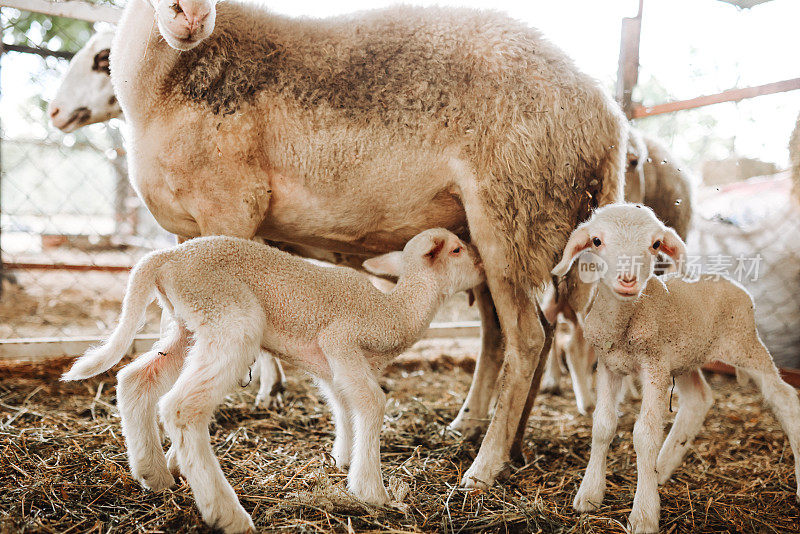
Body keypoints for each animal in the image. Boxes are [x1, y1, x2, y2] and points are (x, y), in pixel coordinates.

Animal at [62, 228, 484, 532]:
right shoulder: (341, 340)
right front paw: (370, 489)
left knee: (136, 378)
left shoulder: (333, 364)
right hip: (229, 314)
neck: (396, 309)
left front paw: (342, 459)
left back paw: (154, 473)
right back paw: (227, 514)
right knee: (181, 407)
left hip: (188, 322)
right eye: (457, 250)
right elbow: (372, 402)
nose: (483, 268)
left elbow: (344, 405)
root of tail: (164, 257)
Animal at [109, 0, 628, 490]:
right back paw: (492, 440)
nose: (192, 15)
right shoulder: (186, 228)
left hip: (510, 213)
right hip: (506, 232)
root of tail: (607, 118)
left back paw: (484, 466)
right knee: (513, 334)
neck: (163, 82)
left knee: (527, 339)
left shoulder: (231, 207)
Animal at [552, 204, 800, 534]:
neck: (627, 322)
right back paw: (662, 466)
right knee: (698, 400)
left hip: (744, 343)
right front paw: (590, 494)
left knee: (785, 398)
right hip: (686, 357)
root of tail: (731, 283)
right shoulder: (608, 365)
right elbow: (603, 425)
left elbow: (645, 434)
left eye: (656, 244)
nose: (628, 280)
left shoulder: (654, 366)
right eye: (596, 241)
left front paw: (644, 514)